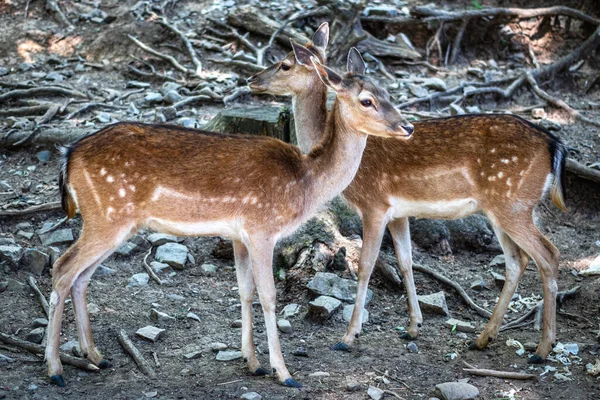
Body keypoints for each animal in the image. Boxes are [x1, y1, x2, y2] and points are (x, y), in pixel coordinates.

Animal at [45, 46, 418, 388]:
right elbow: (269, 296)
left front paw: (253, 363)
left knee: (81, 276)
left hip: (113, 222)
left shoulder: (240, 234)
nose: (408, 126)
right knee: (62, 268)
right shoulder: (262, 227)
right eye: (367, 100)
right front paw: (284, 372)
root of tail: (67, 155)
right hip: (107, 216)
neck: (305, 182)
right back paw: (55, 369)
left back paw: (96, 356)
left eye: (389, 92)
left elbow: (244, 291)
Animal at [247, 23, 568, 364]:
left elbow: (365, 265)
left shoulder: (374, 204)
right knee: (517, 260)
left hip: (514, 203)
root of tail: (555, 145)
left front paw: (348, 336)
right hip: (502, 209)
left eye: (285, 64)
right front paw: (413, 327)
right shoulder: (398, 212)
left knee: (549, 255)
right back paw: (483, 338)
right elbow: (405, 261)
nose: (252, 79)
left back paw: (542, 348)